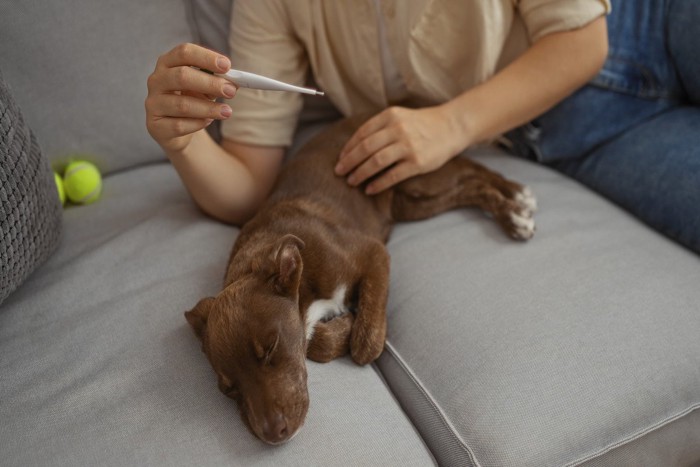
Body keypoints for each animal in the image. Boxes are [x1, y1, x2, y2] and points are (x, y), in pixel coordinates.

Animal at [186, 113, 536, 446]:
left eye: (271, 349)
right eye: (229, 389)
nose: (272, 435)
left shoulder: (373, 252)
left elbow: (365, 342)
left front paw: (355, 327)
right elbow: (317, 341)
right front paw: (338, 327)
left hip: (418, 175)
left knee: (473, 173)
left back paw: (516, 204)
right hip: (411, 202)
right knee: (470, 188)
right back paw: (514, 206)